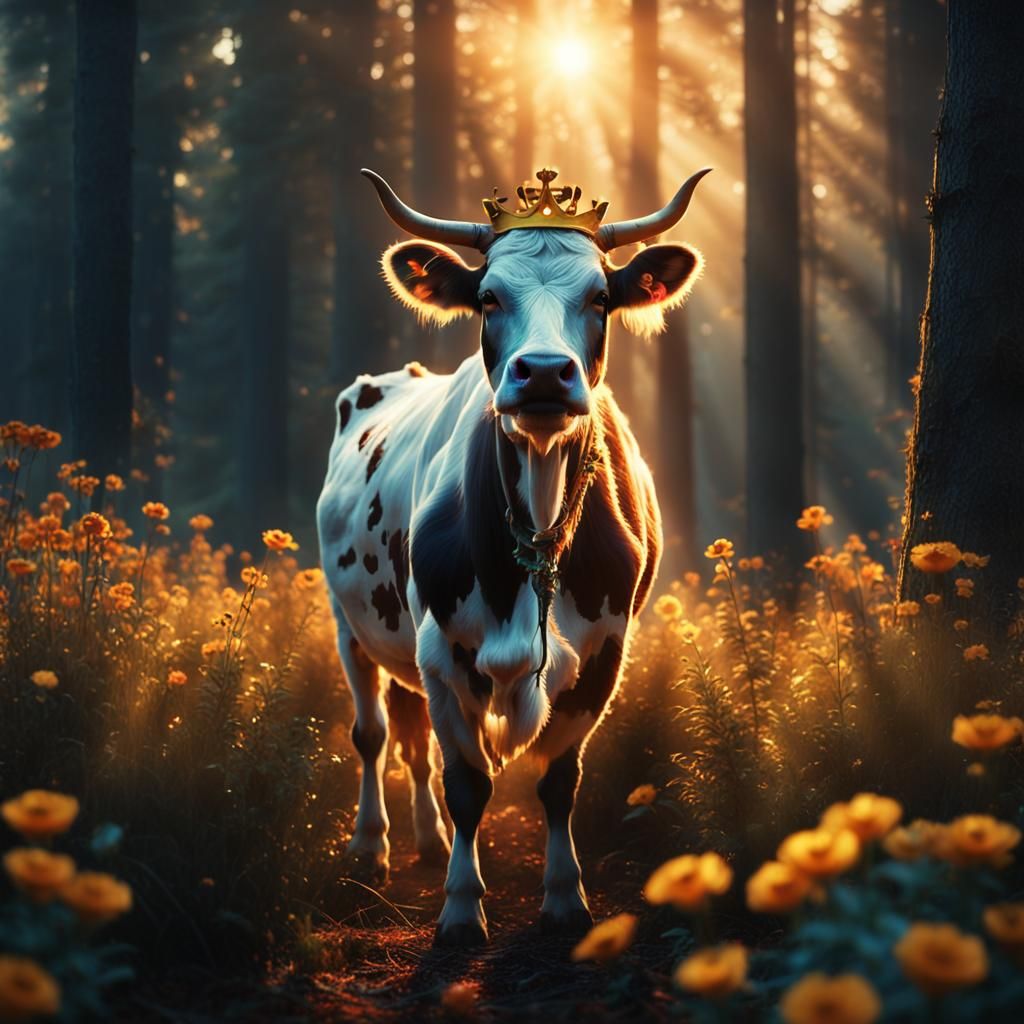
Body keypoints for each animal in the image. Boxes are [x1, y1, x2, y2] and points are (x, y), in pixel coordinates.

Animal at [317, 166, 709, 945]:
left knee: (410, 741)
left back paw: (426, 840)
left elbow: (559, 782)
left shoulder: (606, 652)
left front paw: (564, 897)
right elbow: (467, 783)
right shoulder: (441, 648)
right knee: (373, 734)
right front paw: (461, 907)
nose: (546, 373)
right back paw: (371, 847)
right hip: (351, 626)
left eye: (600, 298)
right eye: (490, 297)